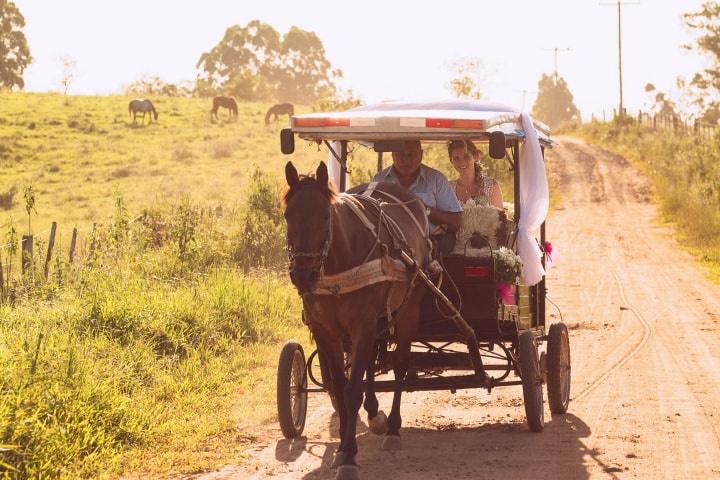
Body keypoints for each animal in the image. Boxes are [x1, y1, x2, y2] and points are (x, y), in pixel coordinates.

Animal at [284, 162, 430, 480]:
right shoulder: (326, 329)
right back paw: (375, 413)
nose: (303, 275)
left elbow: (351, 390)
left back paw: (393, 429)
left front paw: (349, 456)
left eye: (325, 216)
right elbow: (341, 386)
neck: (338, 261)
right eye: (288, 215)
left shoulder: (362, 324)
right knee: (370, 364)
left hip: (409, 306)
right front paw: (341, 448)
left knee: (400, 365)